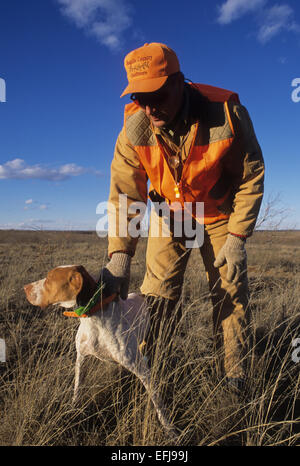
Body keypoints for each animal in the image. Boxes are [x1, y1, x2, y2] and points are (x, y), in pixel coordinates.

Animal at [24, 266, 178, 436]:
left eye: (50, 278)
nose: (25, 288)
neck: (93, 320)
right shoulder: (81, 358)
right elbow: (77, 388)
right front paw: (73, 409)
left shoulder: (141, 370)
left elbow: (157, 401)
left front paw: (169, 429)